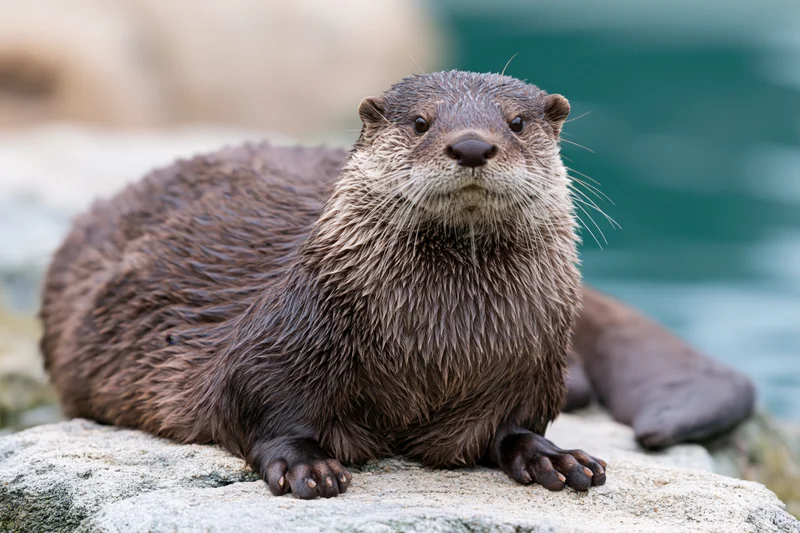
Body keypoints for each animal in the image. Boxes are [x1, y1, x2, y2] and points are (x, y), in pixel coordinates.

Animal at [40, 70, 754, 499]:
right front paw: (306, 464)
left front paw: (552, 456)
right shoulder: (281, 337)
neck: (437, 343)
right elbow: (256, 402)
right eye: (422, 123)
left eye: (516, 123)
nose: (472, 145)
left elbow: (513, 424)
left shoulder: (526, 364)